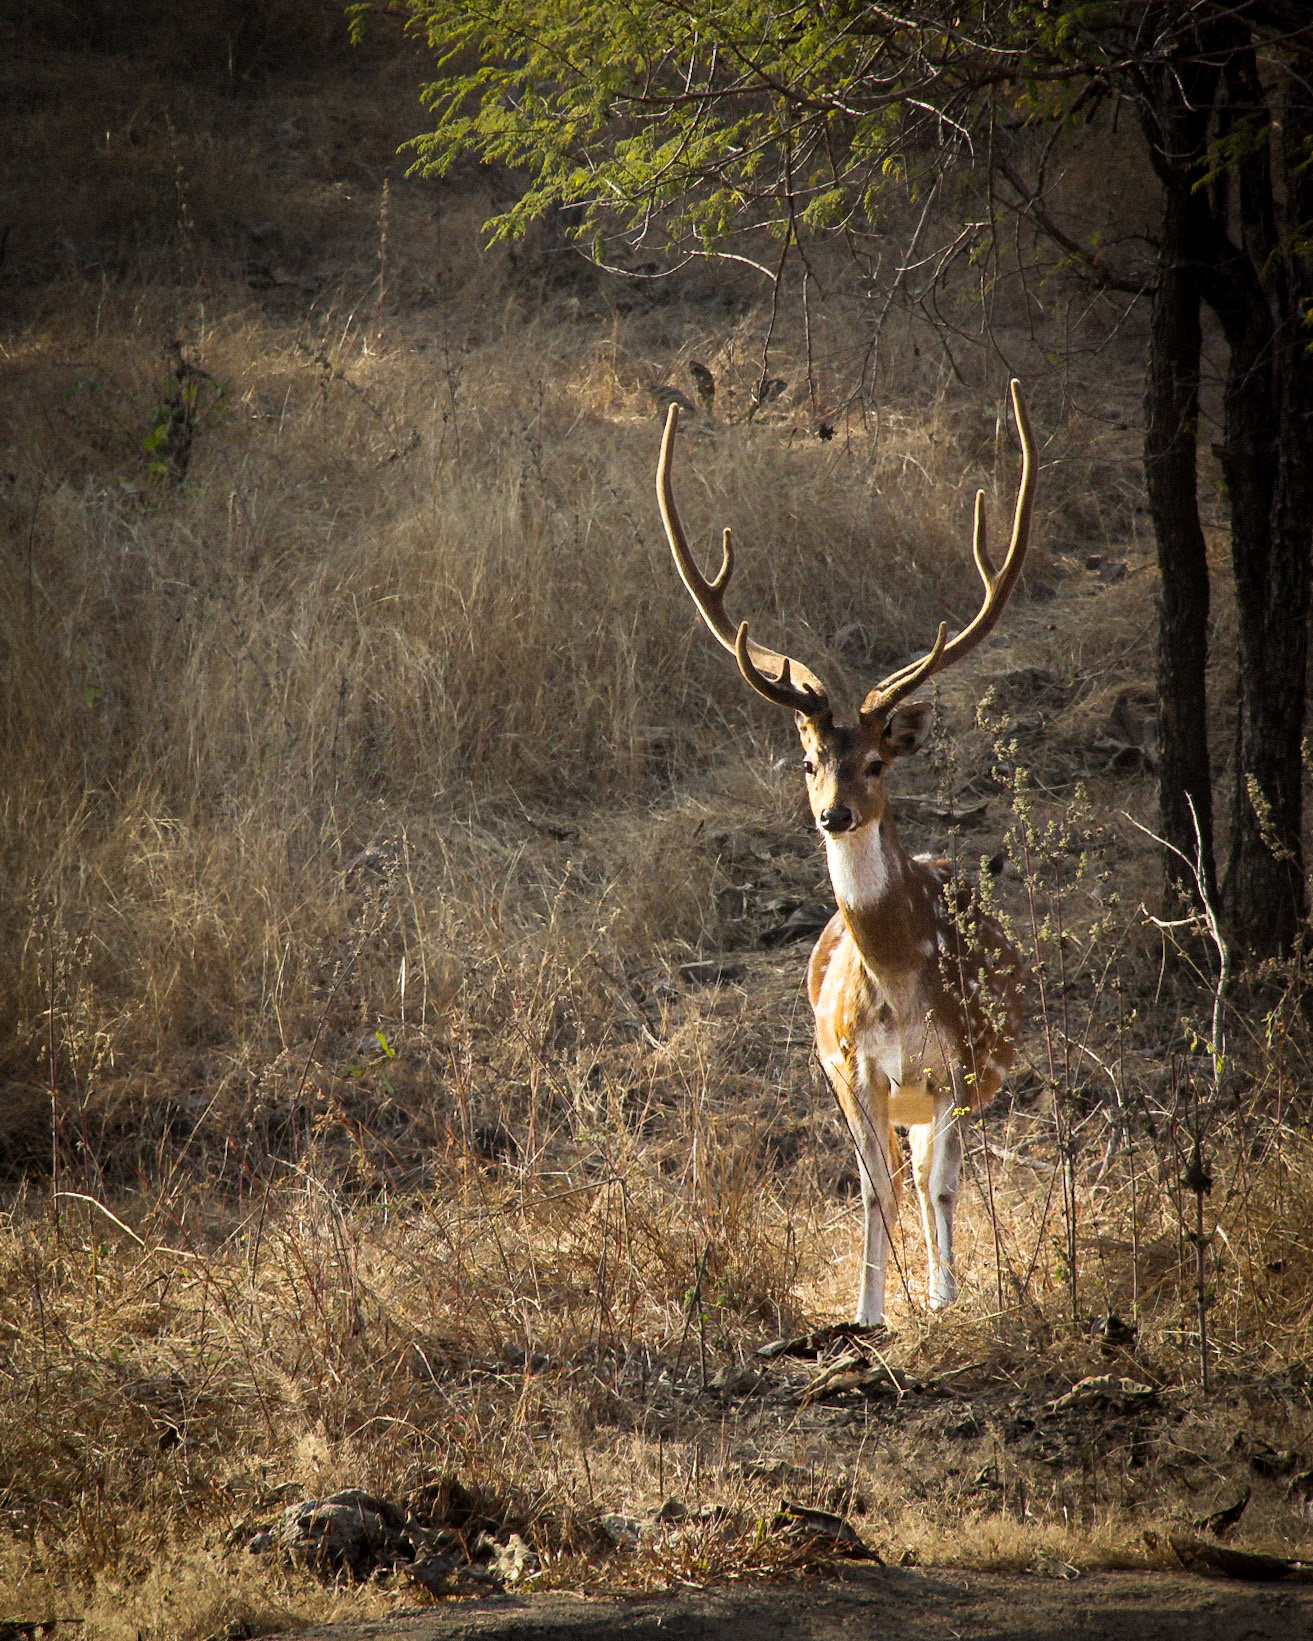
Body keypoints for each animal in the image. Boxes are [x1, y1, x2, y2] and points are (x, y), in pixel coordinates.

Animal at [656, 381, 1036, 1327]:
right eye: (807, 761)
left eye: (875, 761)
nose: (834, 813)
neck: (898, 980)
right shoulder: (852, 1068)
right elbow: (873, 1190)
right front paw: (867, 1314)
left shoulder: (959, 1061)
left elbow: (939, 1187)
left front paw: (943, 1299)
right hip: (856, 1080)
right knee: (897, 1173)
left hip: (954, 1083)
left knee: (933, 1174)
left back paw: (939, 1281)